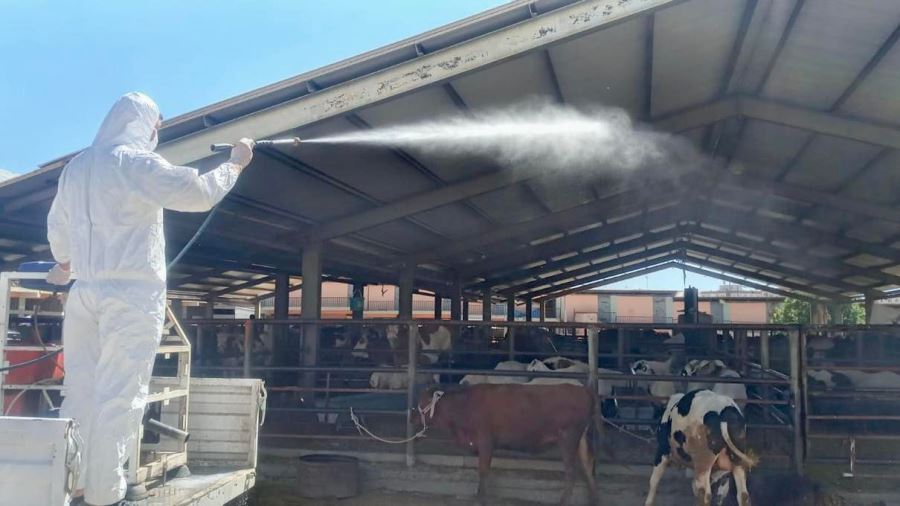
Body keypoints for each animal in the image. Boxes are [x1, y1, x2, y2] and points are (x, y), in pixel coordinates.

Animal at [416, 384, 600, 506]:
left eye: (422, 402)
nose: (411, 416)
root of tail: (583, 389)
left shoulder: (485, 440)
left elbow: (483, 470)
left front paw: (481, 497)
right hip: (580, 439)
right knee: (588, 465)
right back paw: (593, 500)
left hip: (569, 438)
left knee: (571, 471)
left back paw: (564, 501)